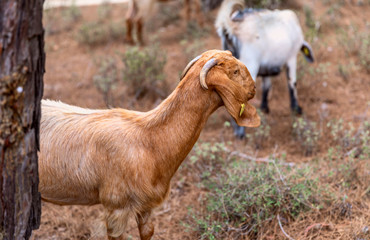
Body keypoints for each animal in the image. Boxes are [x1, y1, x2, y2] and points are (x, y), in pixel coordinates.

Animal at [38, 49, 260, 239]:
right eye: (235, 71)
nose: (254, 88)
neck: (149, 139)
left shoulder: (146, 206)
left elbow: (147, 232)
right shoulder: (116, 206)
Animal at [215, 0, 314, 138]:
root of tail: (231, 26)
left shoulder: (267, 70)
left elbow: (266, 86)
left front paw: (265, 108)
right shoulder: (291, 58)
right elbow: (292, 82)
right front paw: (297, 109)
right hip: (249, 64)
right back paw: (241, 131)